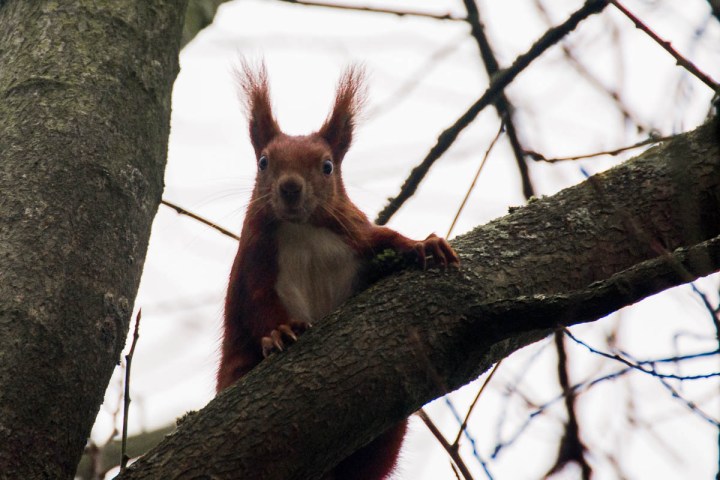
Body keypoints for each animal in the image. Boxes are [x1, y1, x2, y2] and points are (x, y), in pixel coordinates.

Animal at [216, 61, 460, 480]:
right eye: (264, 162)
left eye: (327, 166)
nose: (290, 187)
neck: (301, 228)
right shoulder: (254, 262)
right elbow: (258, 305)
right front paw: (279, 333)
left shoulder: (356, 232)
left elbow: (391, 239)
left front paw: (424, 245)